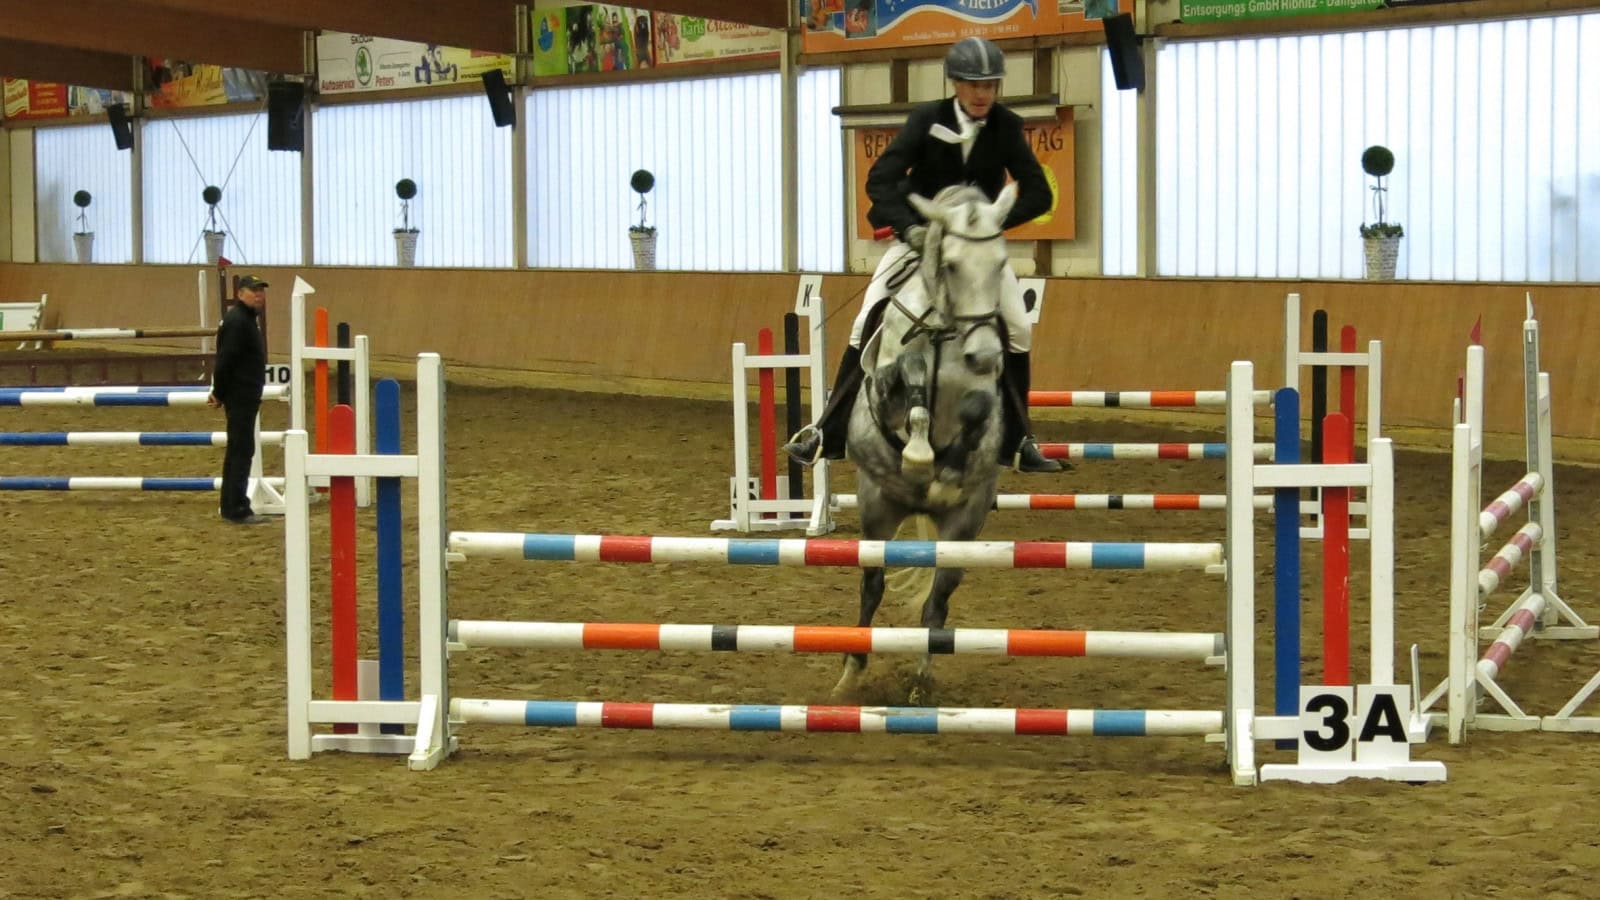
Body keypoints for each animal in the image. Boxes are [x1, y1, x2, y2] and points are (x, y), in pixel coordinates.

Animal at [838, 182, 1011, 701]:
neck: (943, 331)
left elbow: (977, 410)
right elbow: (907, 375)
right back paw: (851, 672)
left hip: (964, 527)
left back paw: (921, 682)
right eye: (950, 264)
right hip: (877, 505)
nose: (984, 354)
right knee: (871, 585)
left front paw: (947, 467)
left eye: (1000, 263)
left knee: (937, 602)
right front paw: (918, 455)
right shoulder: (885, 389)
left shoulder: (983, 398)